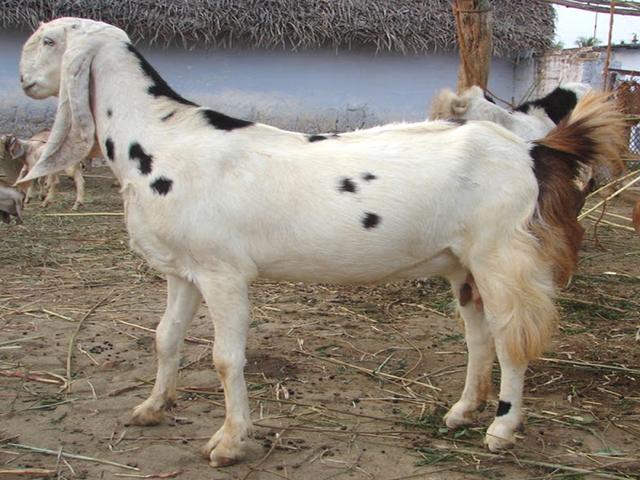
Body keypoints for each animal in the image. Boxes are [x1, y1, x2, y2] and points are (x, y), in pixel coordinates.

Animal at [18, 18, 628, 467]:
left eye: (49, 41)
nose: (24, 83)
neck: (163, 137)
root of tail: (532, 150)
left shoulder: (222, 272)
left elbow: (224, 358)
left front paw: (229, 443)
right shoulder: (183, 270)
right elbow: (165, 339)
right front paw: (151, 407)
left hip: (502, 254)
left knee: (511, 340)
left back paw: (500, 428)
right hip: (463, 263)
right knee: (478, 336)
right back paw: (462, 411)